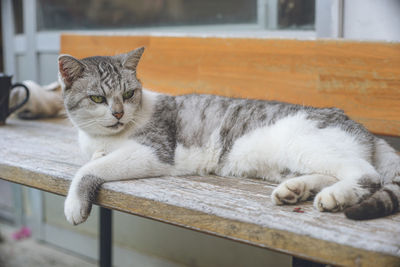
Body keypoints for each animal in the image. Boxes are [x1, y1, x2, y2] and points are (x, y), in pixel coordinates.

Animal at [56, 47, 400, 225]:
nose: (118, 113)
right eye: (98, 99)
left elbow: (87, 169)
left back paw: (335, 196)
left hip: (306, 145)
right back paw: (296, 190)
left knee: (365, 174)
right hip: (296, 162)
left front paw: (74, 204)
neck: (102, 137)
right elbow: (95, 158)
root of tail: (364, 129)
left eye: (128, 94)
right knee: (329, 173)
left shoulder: (154, 151)